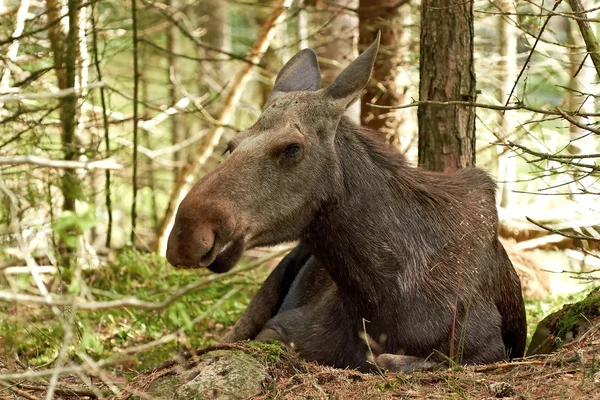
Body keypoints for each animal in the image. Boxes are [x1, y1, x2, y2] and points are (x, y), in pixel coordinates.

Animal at [165, 33, 524, 372]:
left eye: (292, 148)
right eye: (231, 145)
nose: (186, 234)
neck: (377, 295)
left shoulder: (489, 351)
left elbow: (387, 360)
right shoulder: (280, 327)